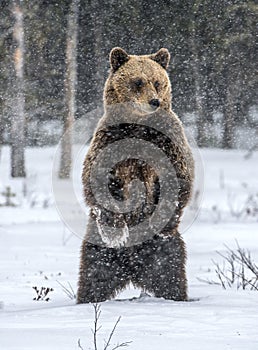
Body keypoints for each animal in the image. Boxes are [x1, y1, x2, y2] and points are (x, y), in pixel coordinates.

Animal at [76, 46, 194, 304]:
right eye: (138, 81)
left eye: (157, 82)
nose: (154, 101)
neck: (139, 126)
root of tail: (131, 269)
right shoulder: (109, 144)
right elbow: (98, 182)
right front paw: (116, 231)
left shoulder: (168, 145)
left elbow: (179, 181)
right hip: (98, 252)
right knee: (93, 278)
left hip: (165, 254)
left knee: (171, 277)